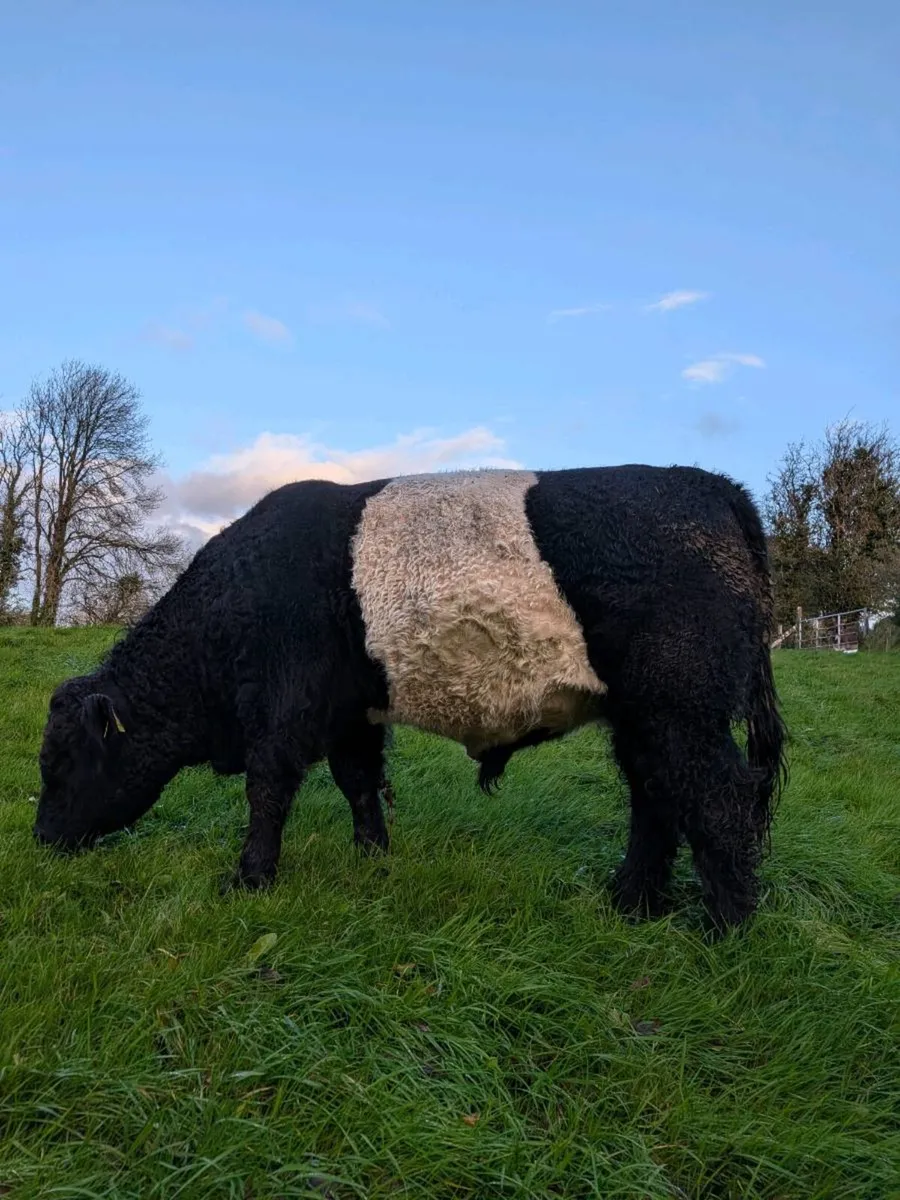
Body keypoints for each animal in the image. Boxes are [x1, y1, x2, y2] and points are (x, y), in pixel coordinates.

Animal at [33, 465, 787, 930]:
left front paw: (249, 879)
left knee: (715, 797)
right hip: (643, 717)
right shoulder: (352, 713)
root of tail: (711, 484)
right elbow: (359, 782)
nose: (41, 839)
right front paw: (373, 859)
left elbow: (268, 789)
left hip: (680, 707)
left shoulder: (283, 710)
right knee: (656, 795)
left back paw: (725, 928)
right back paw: (629, 903)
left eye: (60, 762)